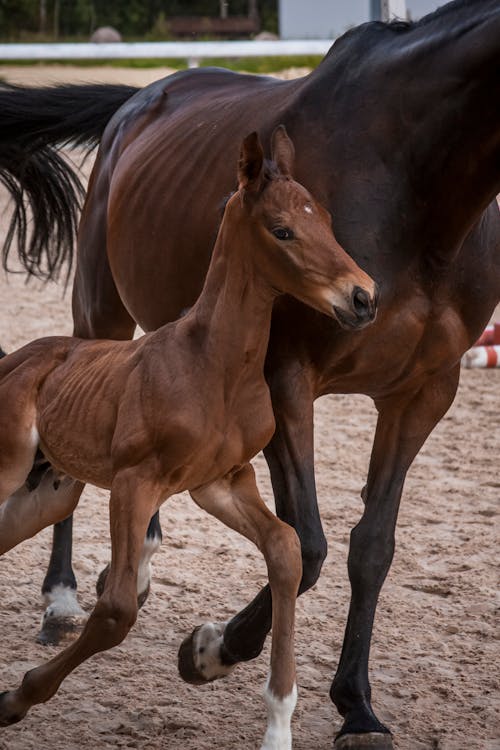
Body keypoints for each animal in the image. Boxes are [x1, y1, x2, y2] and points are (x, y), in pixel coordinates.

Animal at [0, 128, 376, 748]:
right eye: (282, 230)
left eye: (323, 218)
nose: (364, 297)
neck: (214, 364)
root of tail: (16, 359)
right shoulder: (136, 482)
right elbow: (116, 610)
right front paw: (15, 698)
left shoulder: (222, 483)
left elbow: (286, 549)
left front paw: (277, 725)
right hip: (8, 468)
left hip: (46, 493)